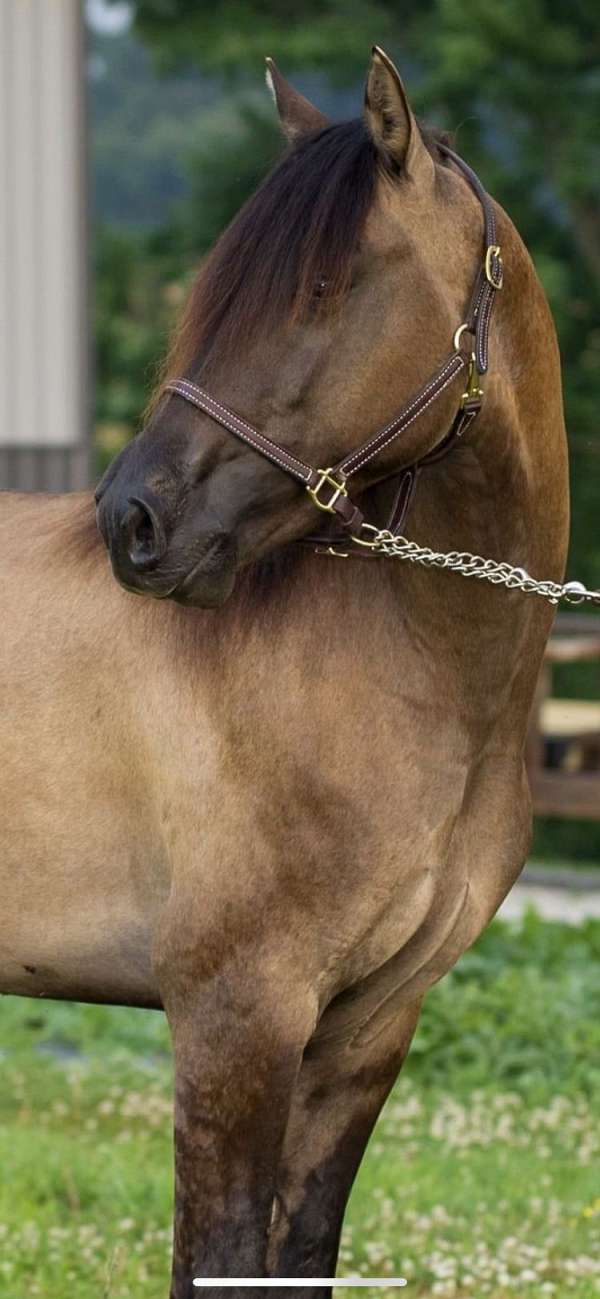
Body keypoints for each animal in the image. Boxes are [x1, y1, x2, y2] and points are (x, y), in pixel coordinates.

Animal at [1, 45, 566, 1299]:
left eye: (325, 287)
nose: (134, 523)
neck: (403, 670)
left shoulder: (365, 1034)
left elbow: (298, 1253)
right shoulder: (236, 1019)